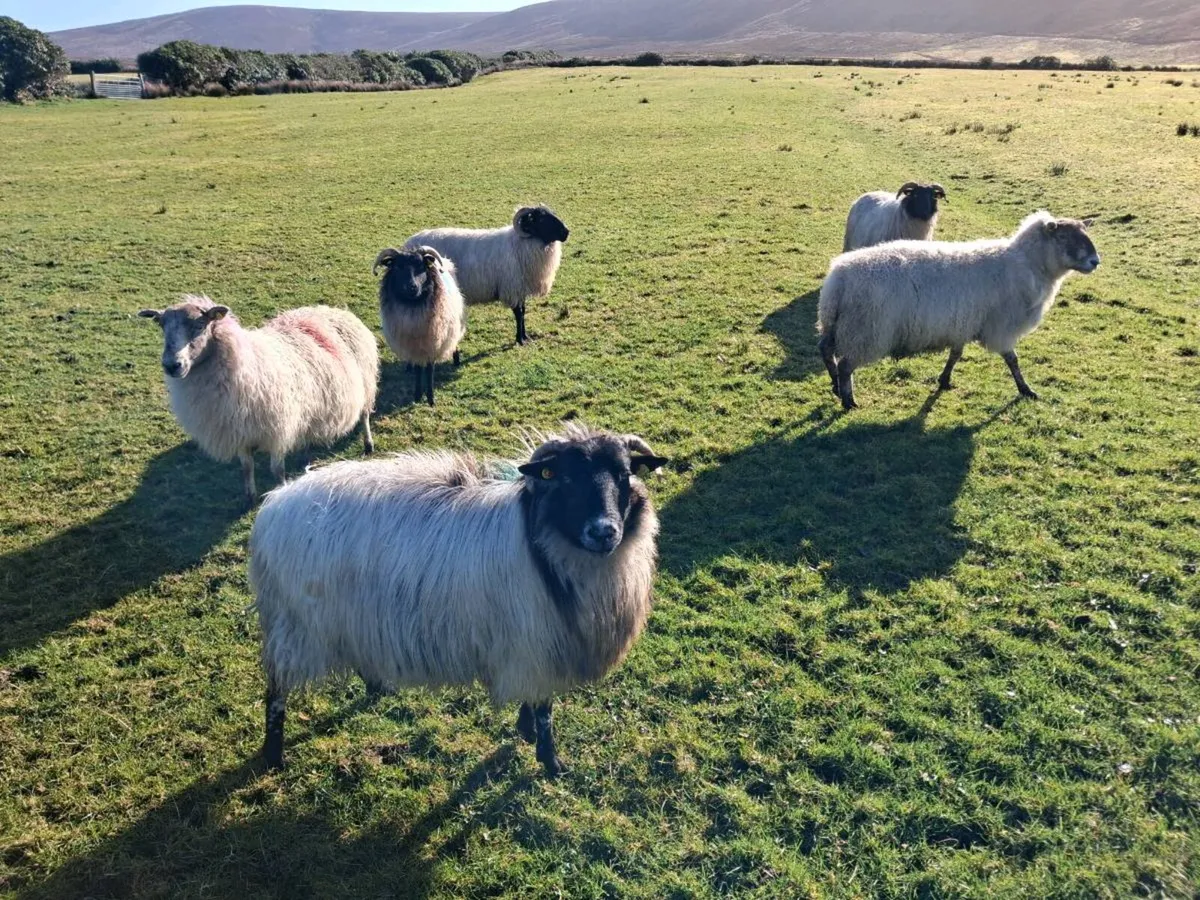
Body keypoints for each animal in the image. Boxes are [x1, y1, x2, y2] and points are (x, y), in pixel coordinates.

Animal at [138, 296, 378, 504]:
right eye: (162, 326)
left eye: (199, 325)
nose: (171, 365)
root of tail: (335, 310)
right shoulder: (240, 432)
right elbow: (247, 468)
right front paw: (250, 498)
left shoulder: (278, 429)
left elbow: (277, 470)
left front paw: (280, 492)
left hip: (366, 385)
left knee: (365, 415)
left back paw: (368, 444)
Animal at [249, 423, 668, 777]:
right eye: (565, 478)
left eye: (624, 474)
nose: (604, 532)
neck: (547, 546)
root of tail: (274, 505)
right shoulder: (538, 641)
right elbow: (545, 710)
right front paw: (551, 761)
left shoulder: (532, 646)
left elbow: (533, 702)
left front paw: (525, 731)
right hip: (295, 625)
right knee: (275, 691)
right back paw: (273, 755)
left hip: (349, 616)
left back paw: (378, 685)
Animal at [374, 246, 466, 407]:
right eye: (398, 267)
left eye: (421, 266)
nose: (412, 287)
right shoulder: (414, 346)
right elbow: (418, 370)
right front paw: (417, 395)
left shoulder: (432, 342)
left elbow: (429, 370)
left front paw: (430, 398)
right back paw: (409, 366)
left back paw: (456, 358)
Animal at [404, 205, 570, 346]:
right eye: (541, 219)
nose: (566, 232)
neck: (520, 245)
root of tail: (408, 243)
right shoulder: (512, 288)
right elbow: (518, 314)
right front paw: (519, 339)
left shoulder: (520, 289)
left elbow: (523, 312)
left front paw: (525, 337)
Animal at [817, 211, 1100, 410]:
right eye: (1064, 237)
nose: (1095, 261)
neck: (1030, 264)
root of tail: (839, 279)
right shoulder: (1000, 327)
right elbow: (1012, 360)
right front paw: (1026, 390)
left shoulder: (963, 323)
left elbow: (956, 354)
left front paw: (944, 380)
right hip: (866, 330)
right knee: (845, 364)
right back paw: (848, 400)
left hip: (836, 322)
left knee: (826, 351)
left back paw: (835, 386)